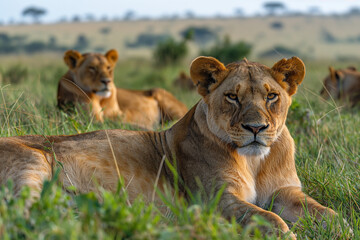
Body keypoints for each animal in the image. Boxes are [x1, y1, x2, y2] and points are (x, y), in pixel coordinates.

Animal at [56, 49, 188, 130]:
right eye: (92, 68)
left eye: (108, 67)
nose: (107, 81)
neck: (100, 98)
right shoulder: (93, 119)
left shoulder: (118, 114)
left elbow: (121, 121)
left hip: (161, 94)